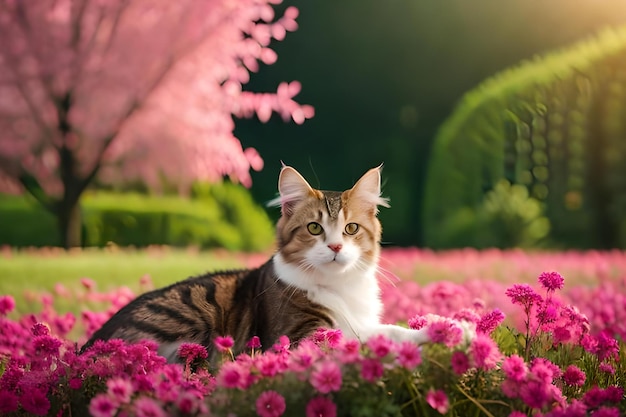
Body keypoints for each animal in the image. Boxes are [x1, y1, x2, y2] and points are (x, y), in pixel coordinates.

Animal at [80, 164, 444, 362]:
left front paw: (441, 323)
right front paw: (433, 333)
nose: (336, 246)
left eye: (351, 228)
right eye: (314, 228)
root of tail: (85, 351)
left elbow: (384, 328)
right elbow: (369, 336)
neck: (341, 287)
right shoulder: (299, 338)